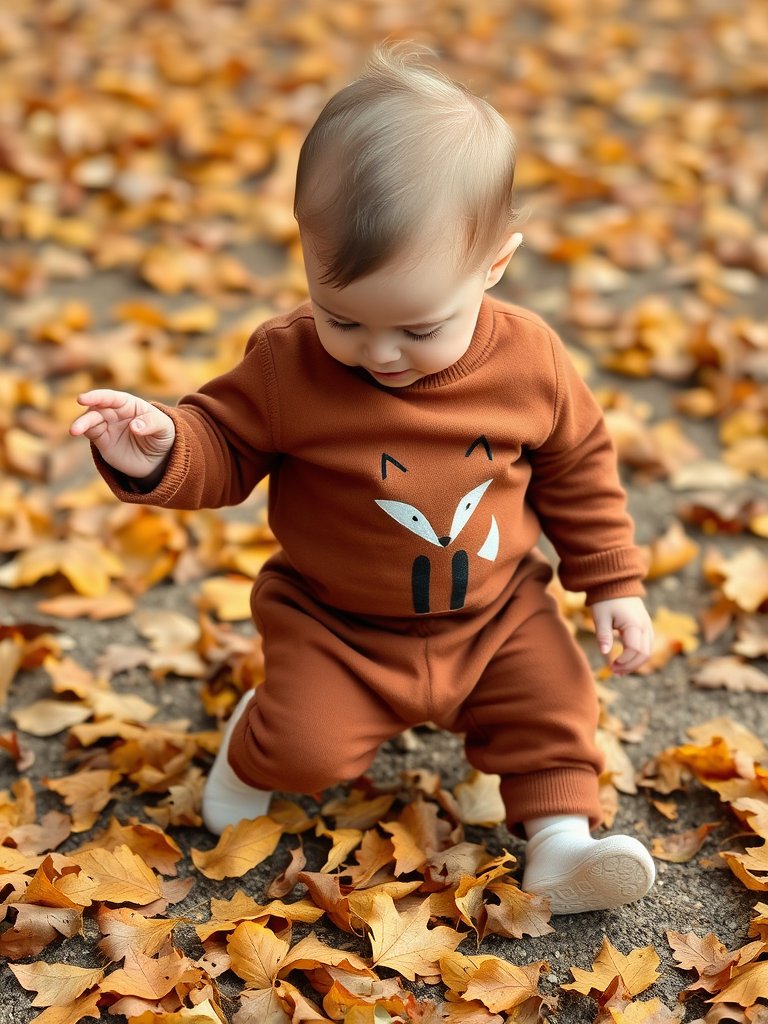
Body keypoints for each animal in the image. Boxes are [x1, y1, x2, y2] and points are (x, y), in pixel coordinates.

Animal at [375, 435, 499, 614]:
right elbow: (421, 587)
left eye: (468, 505)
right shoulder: (420, 564)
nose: (445, 540)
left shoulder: (460, 558)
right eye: (414, 518)